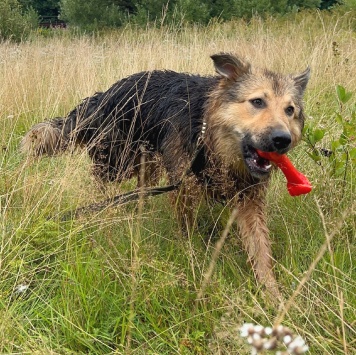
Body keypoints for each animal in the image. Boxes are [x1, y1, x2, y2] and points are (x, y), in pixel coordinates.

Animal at [21, 52, 308, 298]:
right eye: (257, 102)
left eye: (290, 110)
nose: (282, 139)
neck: (208, 137)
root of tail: (102, 96)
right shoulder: (183, 188)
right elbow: (187, 233)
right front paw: (192, 259)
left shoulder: (249, 200)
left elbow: (261, 250)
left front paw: (273, 295)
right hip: (117, 164)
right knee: (99, 185)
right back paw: (104, 216)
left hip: (149, 164)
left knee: (140, 189)